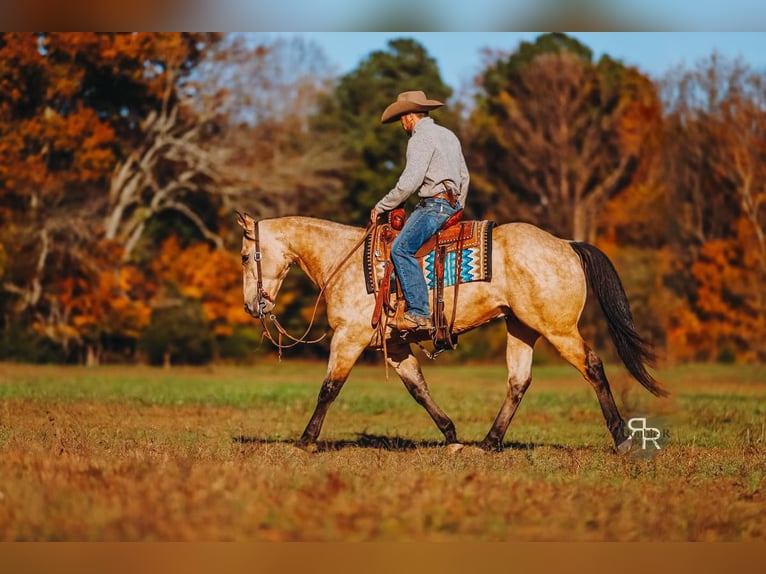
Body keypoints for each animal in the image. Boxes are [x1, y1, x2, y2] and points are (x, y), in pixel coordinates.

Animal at [237, 213, 668, 453]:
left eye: (244, 256)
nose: (251, 306)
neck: (345, 262)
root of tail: (566, 243)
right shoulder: (394, 346)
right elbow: (419, 390)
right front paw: (452, 436)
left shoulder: (349, 337)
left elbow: (329, 389)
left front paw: (304, 441)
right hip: (521, 327)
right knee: (518, 381)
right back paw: (489, 443)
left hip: (558, 329)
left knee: (593, 366)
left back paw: (623, 439)